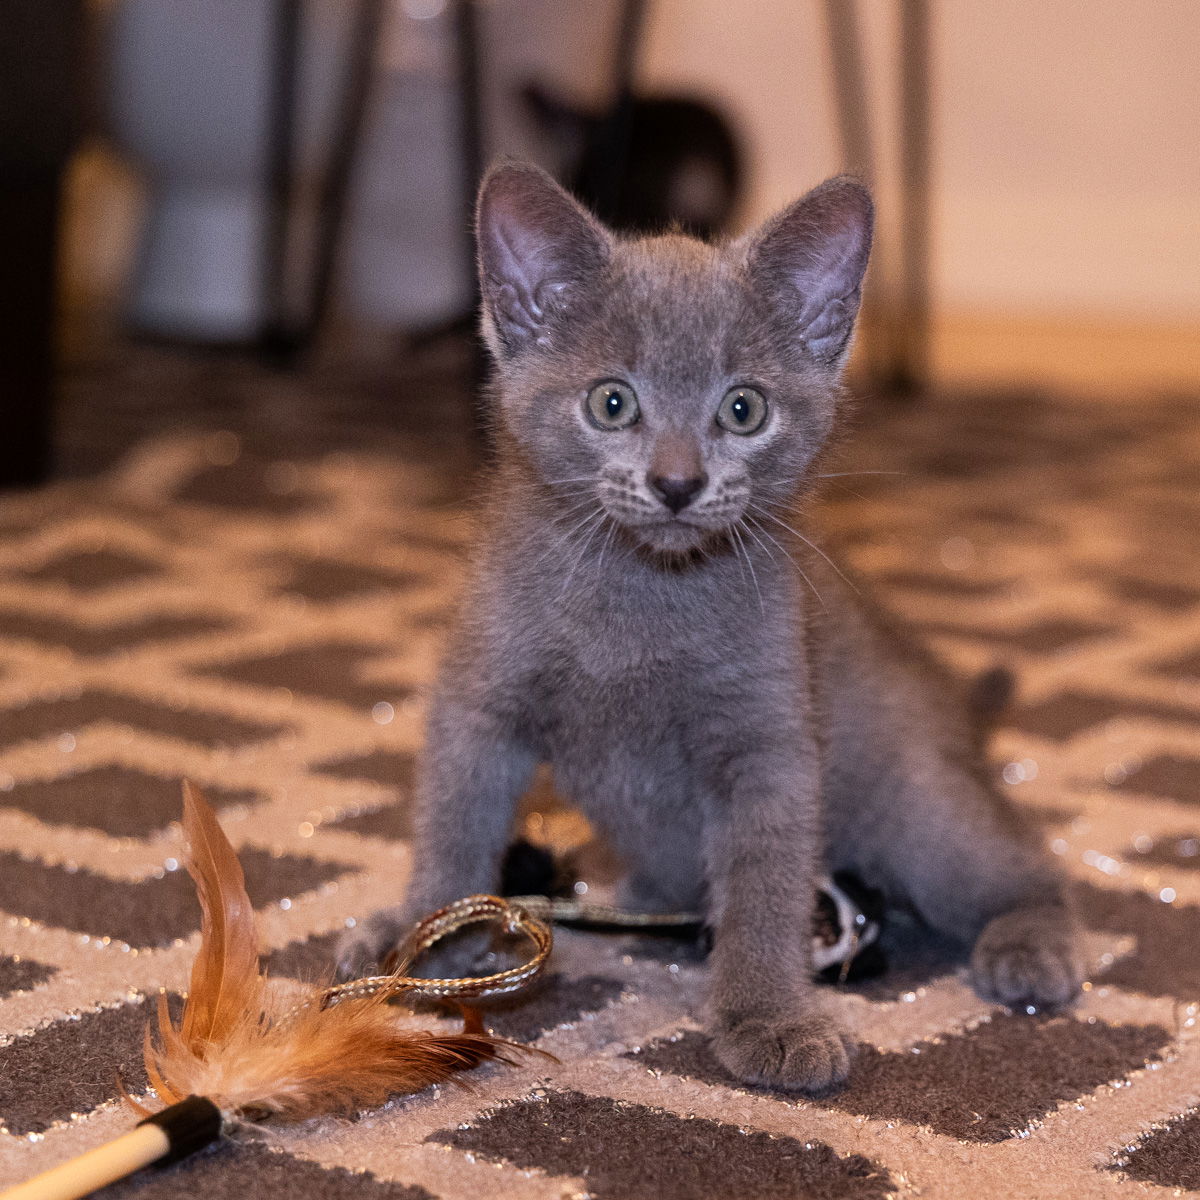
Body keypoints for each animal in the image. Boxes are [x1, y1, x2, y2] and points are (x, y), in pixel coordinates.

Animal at [336, 162, 1080, 1099]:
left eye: (744, 409)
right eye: (611, 403)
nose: (678, 482)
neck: (640, 601)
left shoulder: (770, 742)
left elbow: (764, 885)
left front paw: (769, 1018)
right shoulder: (481, 700)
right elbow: (452, 822)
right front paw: (424, 937)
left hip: (918, 808)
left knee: (1024, 863)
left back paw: (1030, 946)